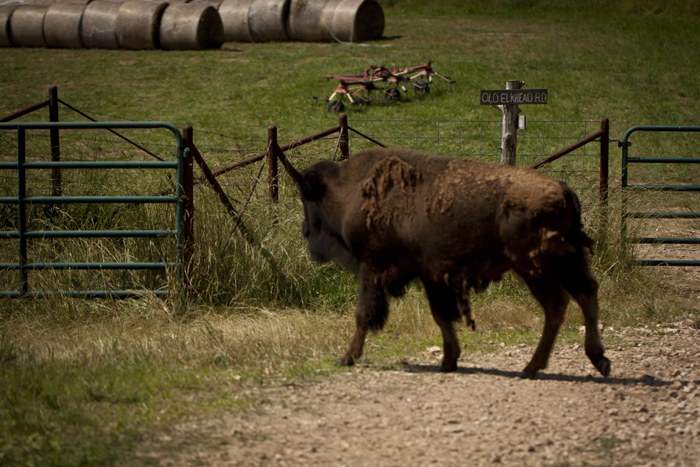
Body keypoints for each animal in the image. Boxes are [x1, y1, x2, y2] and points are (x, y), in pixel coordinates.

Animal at [280, 148, 612, 378]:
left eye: (307, 197)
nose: (306, 232)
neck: (350, 189)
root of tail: (562, 188)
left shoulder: (372, 266)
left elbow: (363, 314)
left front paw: (346, 357)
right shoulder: (430, 275)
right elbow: (441, 315)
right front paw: (449, 360)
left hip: (534, 267)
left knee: (557, 302)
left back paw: (531, 367)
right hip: (566, 260)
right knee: (587, 292)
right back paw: (598, 360)